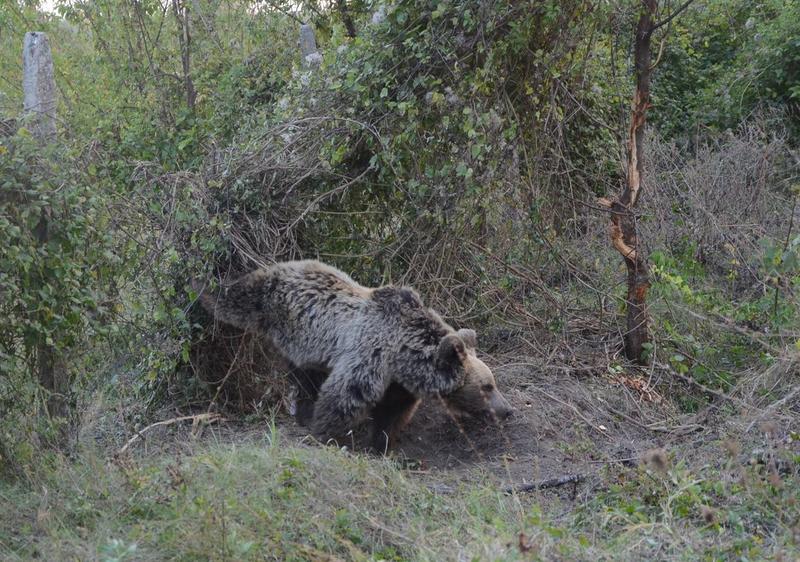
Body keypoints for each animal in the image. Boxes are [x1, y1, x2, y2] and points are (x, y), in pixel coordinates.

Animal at [192, 260, 512, 450]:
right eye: (487, 386)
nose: (507, 409)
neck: (403, 354)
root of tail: (289, 265)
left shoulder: (399, 383)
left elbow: (391, 412)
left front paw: (381, 443)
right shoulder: (369, 353)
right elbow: (346, 394)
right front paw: (325, 433)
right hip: (279, 313)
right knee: (238, 296)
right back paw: (203, 287)